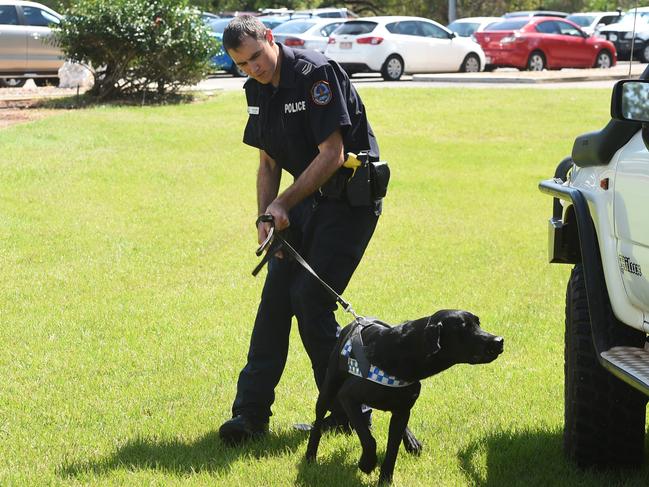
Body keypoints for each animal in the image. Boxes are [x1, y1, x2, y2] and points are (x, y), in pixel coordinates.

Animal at [304, 310, 502, 486]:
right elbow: (368, 439)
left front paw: (385, 480)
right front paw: (367, 464)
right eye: (463, 328)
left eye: (478, 323)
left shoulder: (403, 409)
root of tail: (356, 321)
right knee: (318, 422)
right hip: (329, 388)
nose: (499, 340)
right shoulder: (348, 396)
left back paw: (412, 442)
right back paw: (310, 455)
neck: (405, 353)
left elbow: (392, 449)